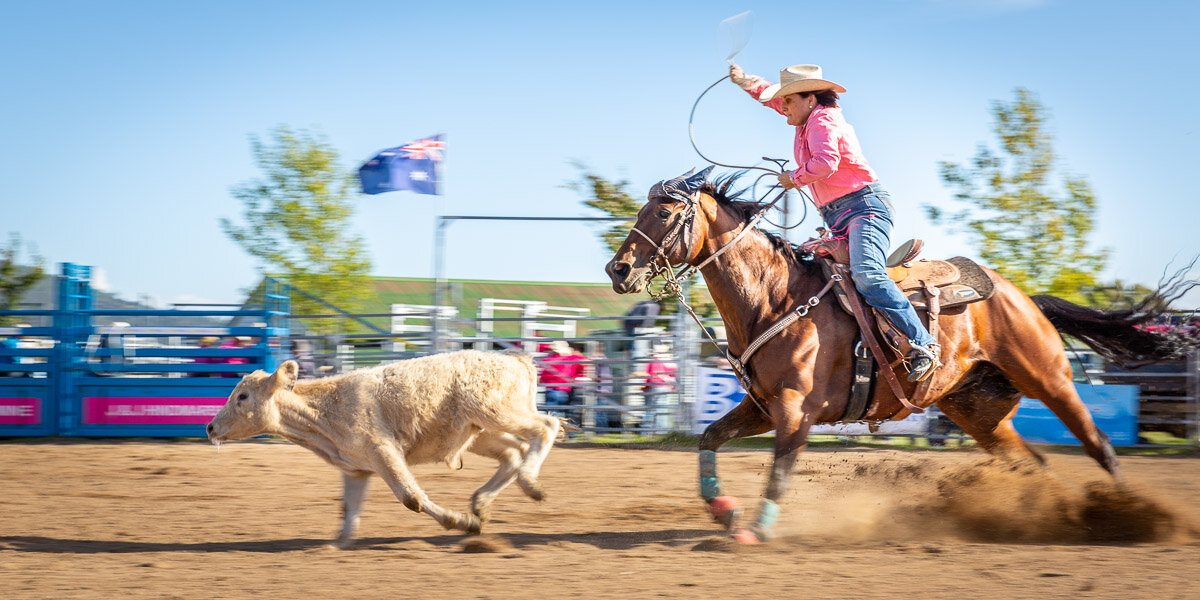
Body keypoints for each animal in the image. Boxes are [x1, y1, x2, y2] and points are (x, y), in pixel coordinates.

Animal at [604, 171, 1195, 547]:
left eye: (663, 210)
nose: (618, 270)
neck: (776, 297)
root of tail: (1020, 294)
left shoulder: (796, 410)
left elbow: (780, 471)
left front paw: (756, 529)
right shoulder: (763, 407)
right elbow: (708, 439)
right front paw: (723, 512)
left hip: (1048, 378)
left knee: (1100, 446)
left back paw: (1127, 516)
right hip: (976, 410)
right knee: (1031, 462)